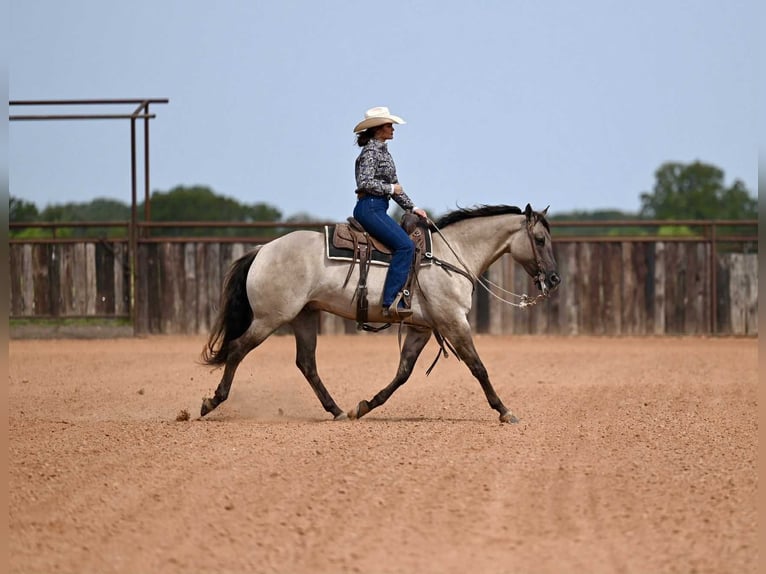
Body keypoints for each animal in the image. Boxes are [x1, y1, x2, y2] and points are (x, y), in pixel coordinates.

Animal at [200, 203, 560, 423]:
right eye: (540, 239)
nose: (555, 279)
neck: (449, 257)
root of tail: (263, 249)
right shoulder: (453, 322)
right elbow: (478, 368)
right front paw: (505, 411)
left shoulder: (421, 329)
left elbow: (402, 373)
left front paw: (365, 406)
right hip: (269, 318)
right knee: (237, 349)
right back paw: (211, 401)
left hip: (304, 316)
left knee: (306, 363)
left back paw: (338, 410)